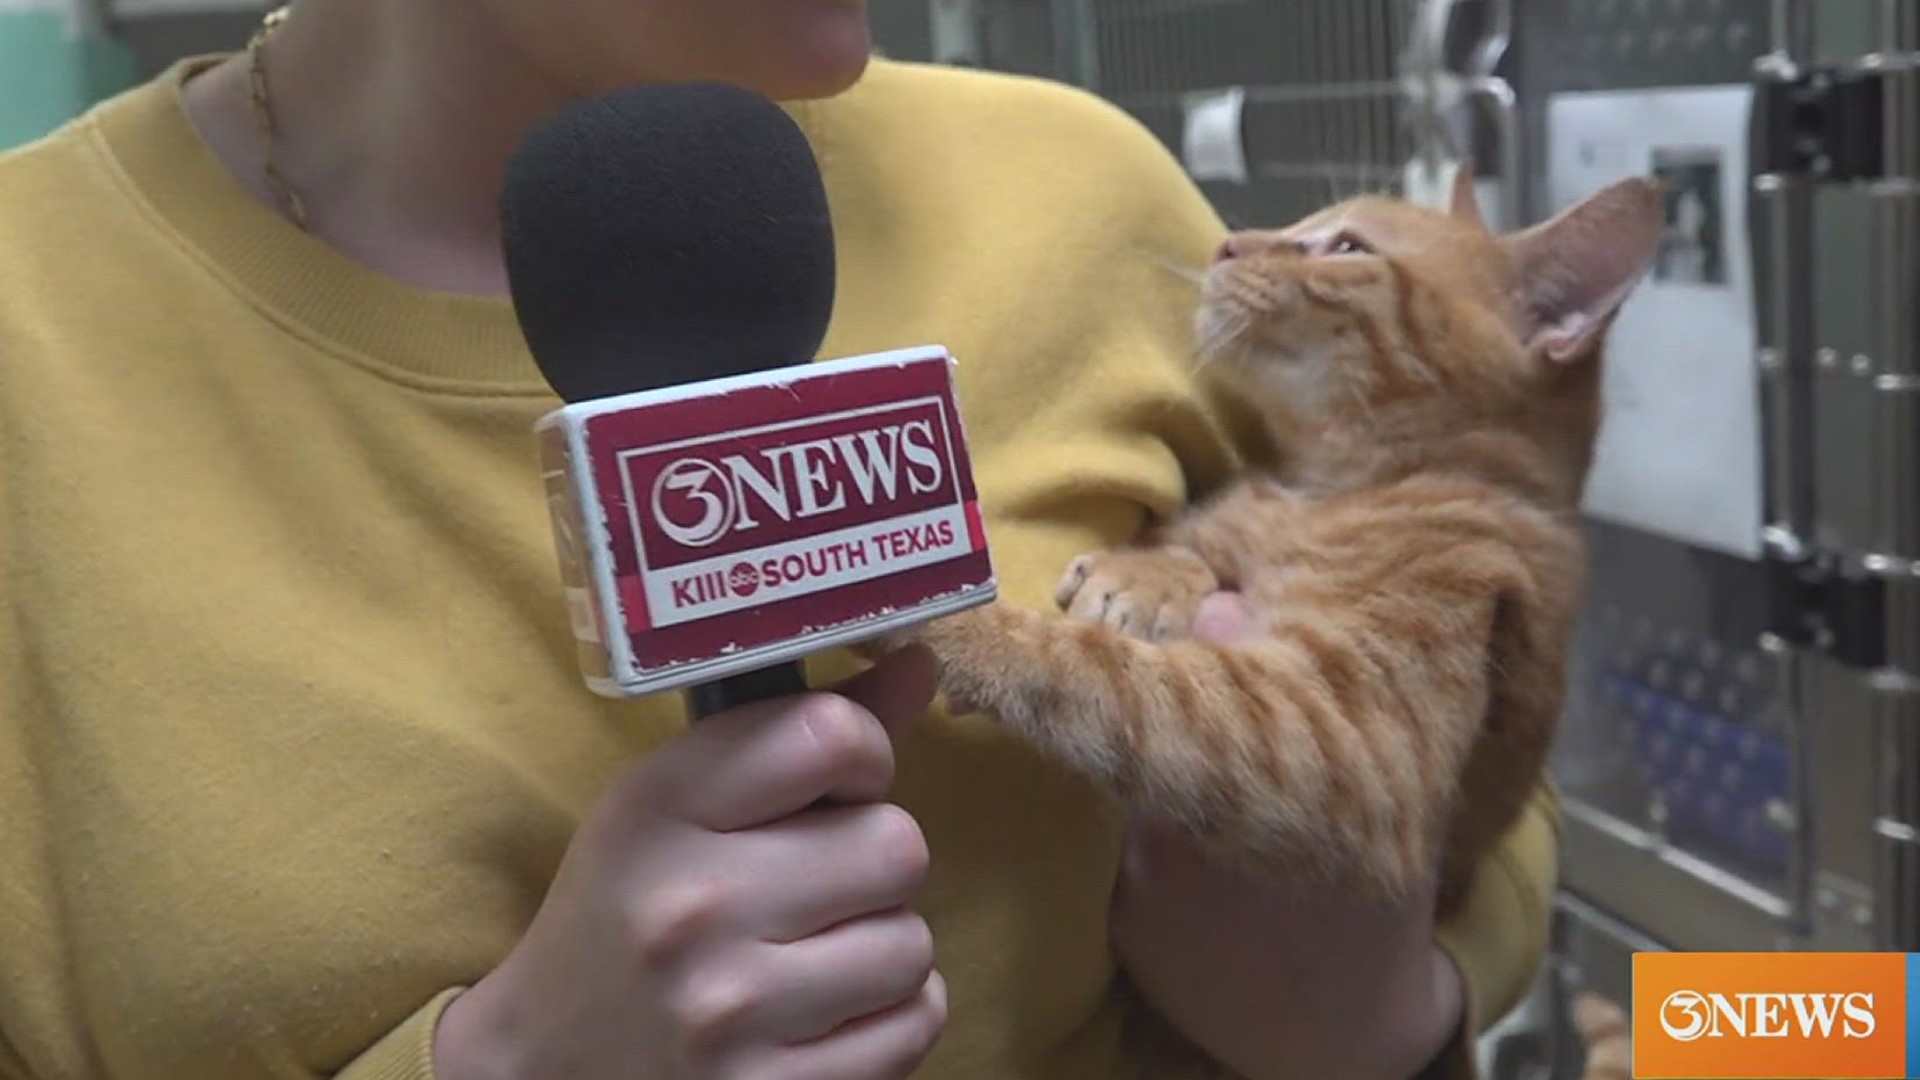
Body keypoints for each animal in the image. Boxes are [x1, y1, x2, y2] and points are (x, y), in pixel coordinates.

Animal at [879, 168, 1658, 914]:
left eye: (1348, 246)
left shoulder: (1349, 744)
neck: (1322, 488)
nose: (1228, 244)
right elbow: (1193, 543)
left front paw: (955, 625)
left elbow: (1115, 676)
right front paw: (1147, 576)